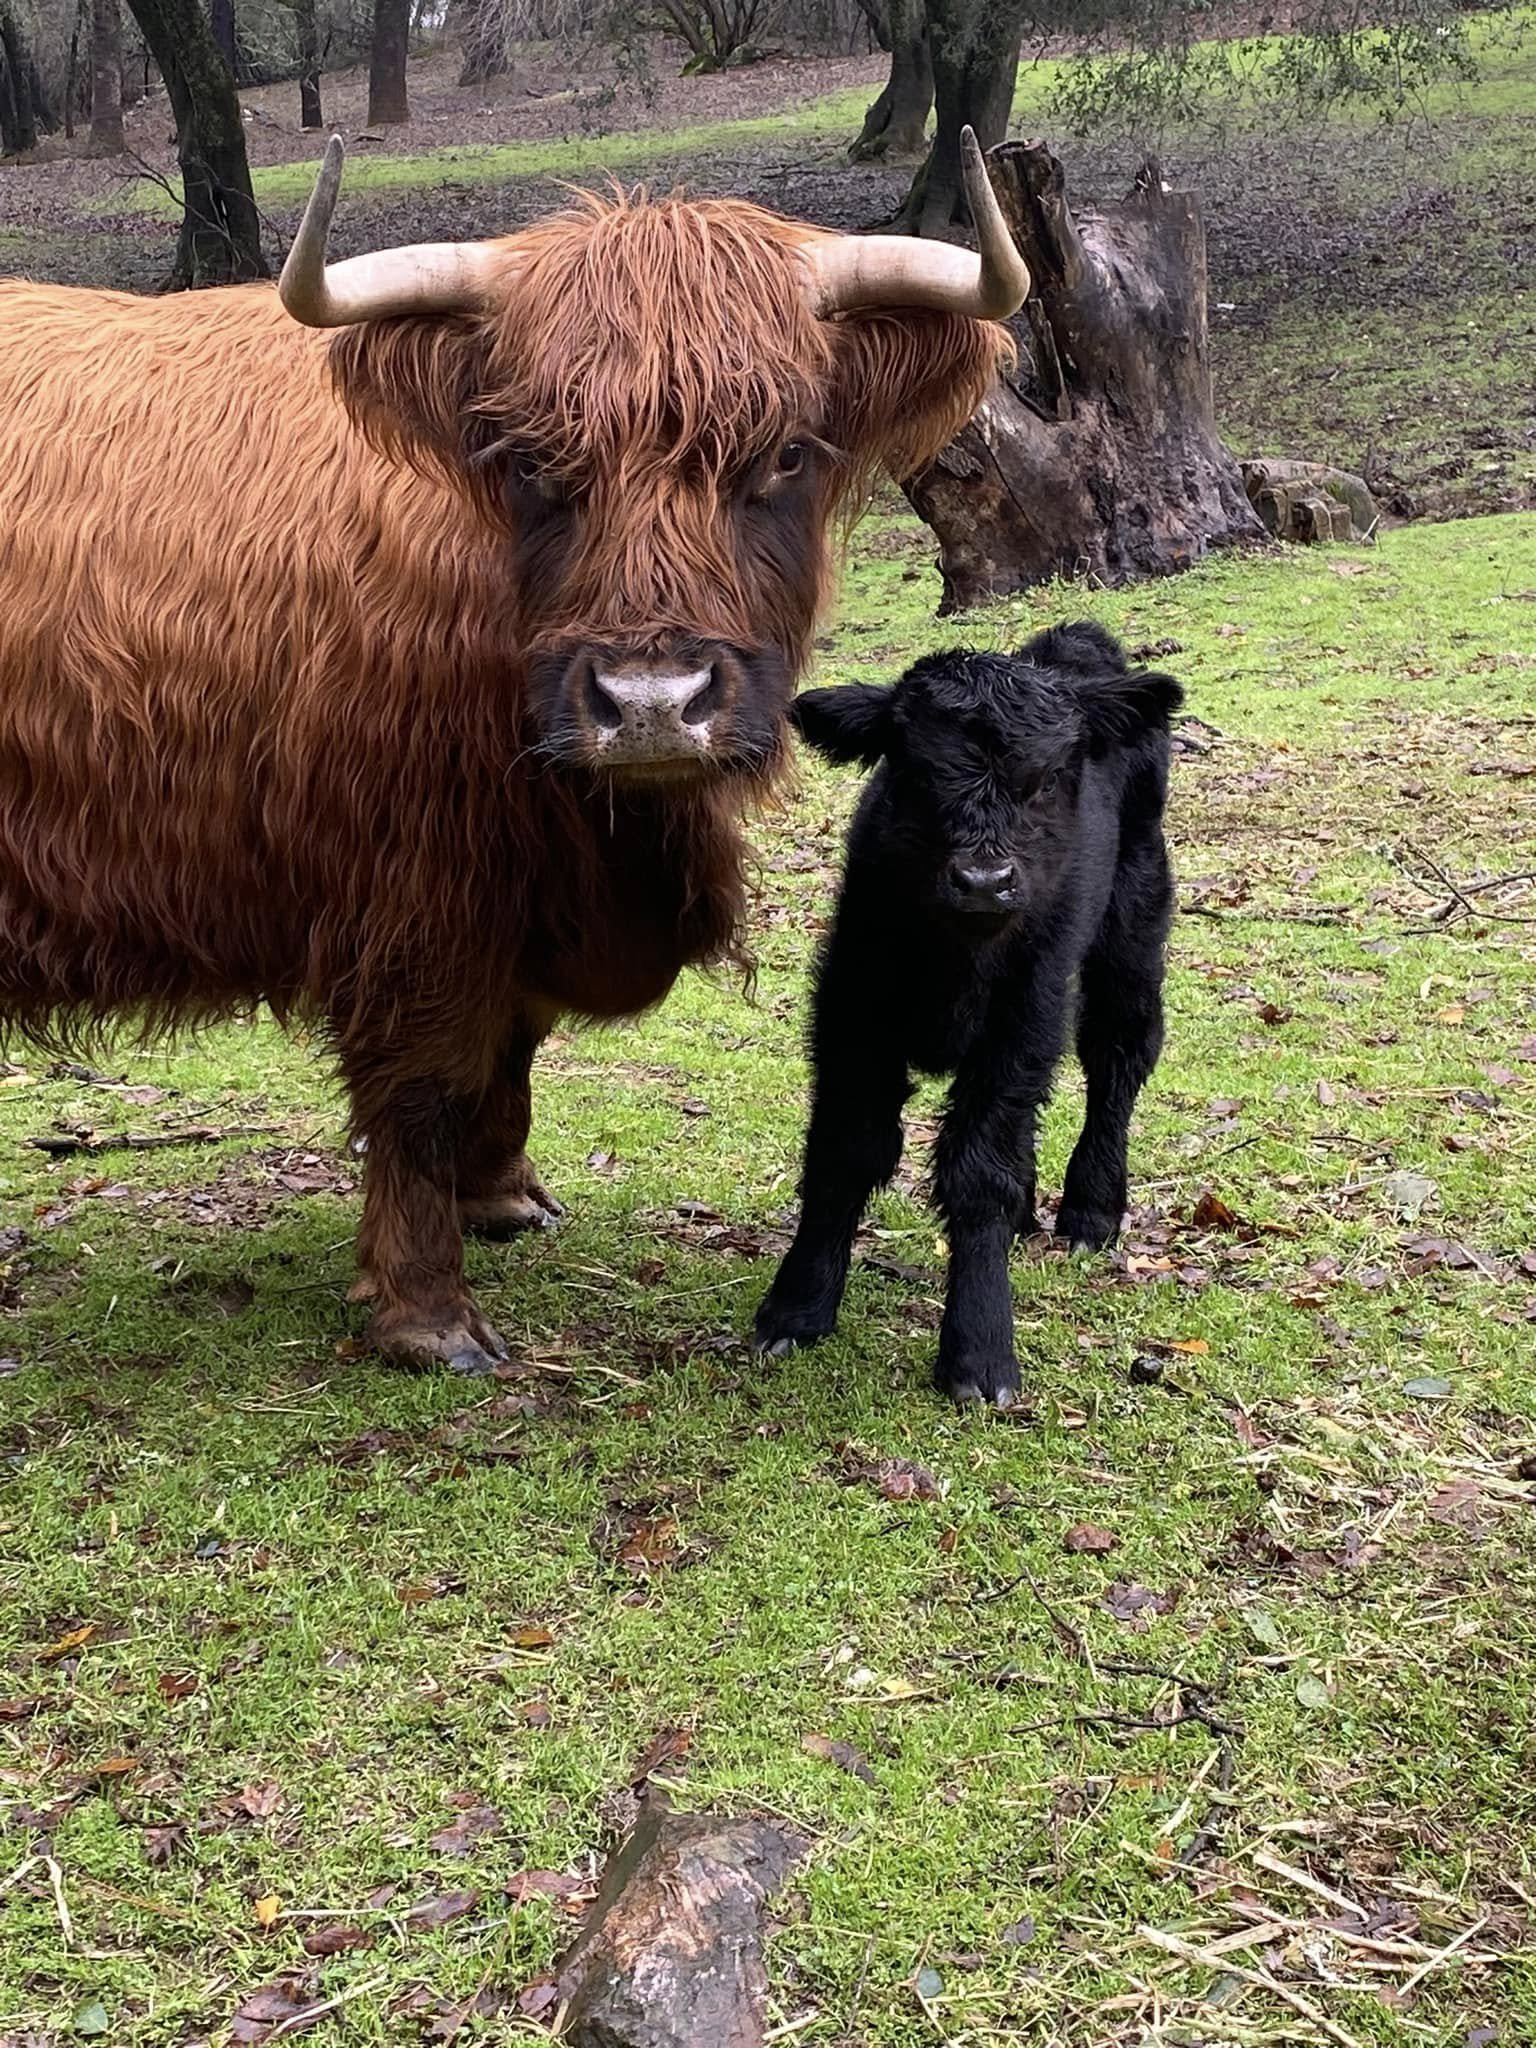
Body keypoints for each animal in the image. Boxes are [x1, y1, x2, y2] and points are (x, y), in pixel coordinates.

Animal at [0, 131, 1028, 1373]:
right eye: (533, 459)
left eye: (785, 452)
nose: (651, 702)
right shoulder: (415, 892)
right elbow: (424, 1085)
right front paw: (427, 1310)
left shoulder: (523, 890)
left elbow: (517, 1042)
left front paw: (501, 1194)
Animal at [753, 623, 1182, 1406]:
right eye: (915, 774)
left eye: (1046, 779)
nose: (984, 881)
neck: (957, 960)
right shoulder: (852, 1009)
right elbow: (844, 1150)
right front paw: (796, 1308)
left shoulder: (1024, 1017)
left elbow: (980, 1172)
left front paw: (980, 1353)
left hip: (1132, 929)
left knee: (1118, 1056)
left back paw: (1091, 1210)